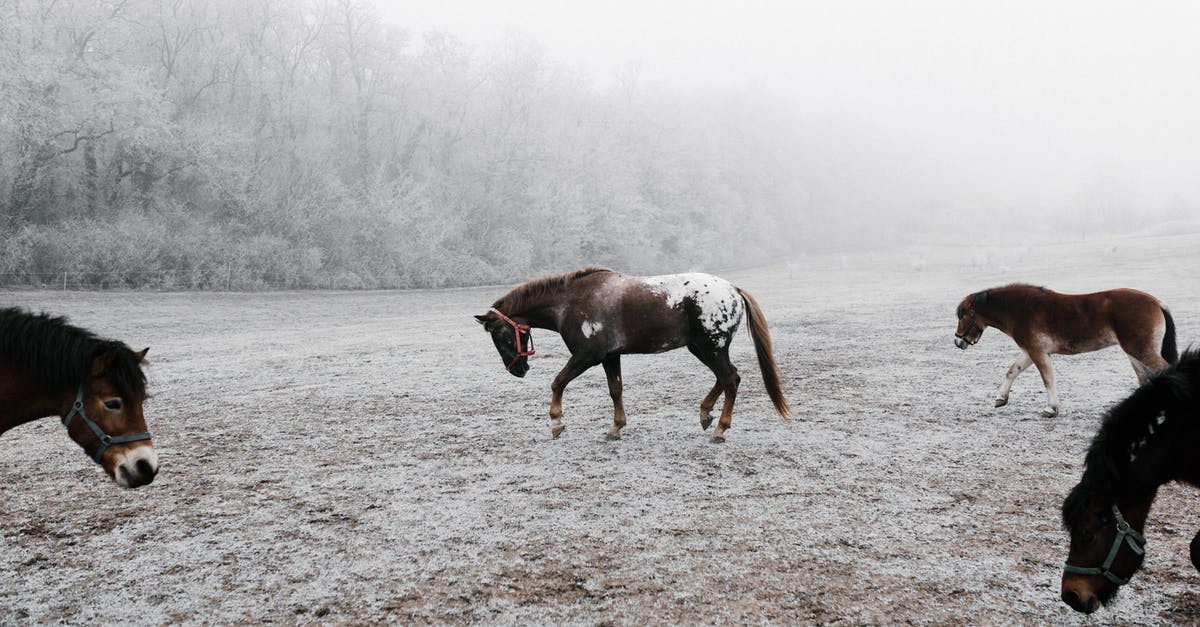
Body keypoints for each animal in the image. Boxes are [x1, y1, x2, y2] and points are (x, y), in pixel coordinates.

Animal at [476, 267, 790, 442]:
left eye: (501, 336)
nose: (518, 370)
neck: (571, 301)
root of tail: (733, 290)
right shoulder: (610, 356)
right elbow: (615, 390)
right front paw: (616, 428)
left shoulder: (587, 355)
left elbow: (558, 382)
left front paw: (557, 422)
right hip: (701, 348)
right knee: (726, 378)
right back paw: (705, 414)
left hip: (712, 347)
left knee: (730, 380)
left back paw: (720, 429)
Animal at [954, 284, 1176, 417]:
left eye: (962, 315)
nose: (957, 341)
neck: (1021, 310)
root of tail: (1157, 303)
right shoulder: (1030, 351)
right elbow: (1012, 371)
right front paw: (1001, 398)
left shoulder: (1037, 352)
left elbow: (1047, 379)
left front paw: (1051, 409)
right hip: (1134, 353)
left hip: (1141, 351)